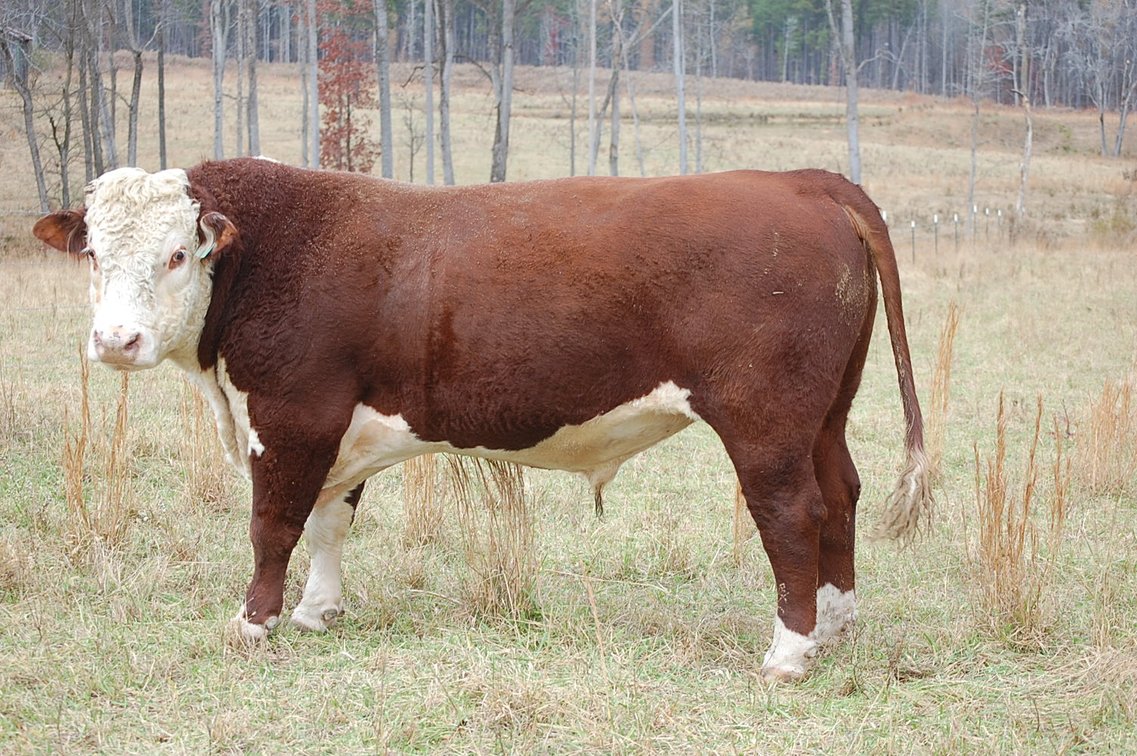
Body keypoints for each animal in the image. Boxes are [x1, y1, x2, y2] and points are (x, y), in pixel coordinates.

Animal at [34, 158, 932, 681]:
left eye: (178, 254)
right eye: (93, 253)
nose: (116, 341)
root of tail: (804, 178)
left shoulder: (291, 416)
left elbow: (273, 525)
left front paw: (254, 624)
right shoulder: (335, 428)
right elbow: (328, 522)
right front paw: (319, 610)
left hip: (763, 421)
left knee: (792, 512)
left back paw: (788, 653)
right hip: (825, 414)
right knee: (840, 496)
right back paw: (836, 626)